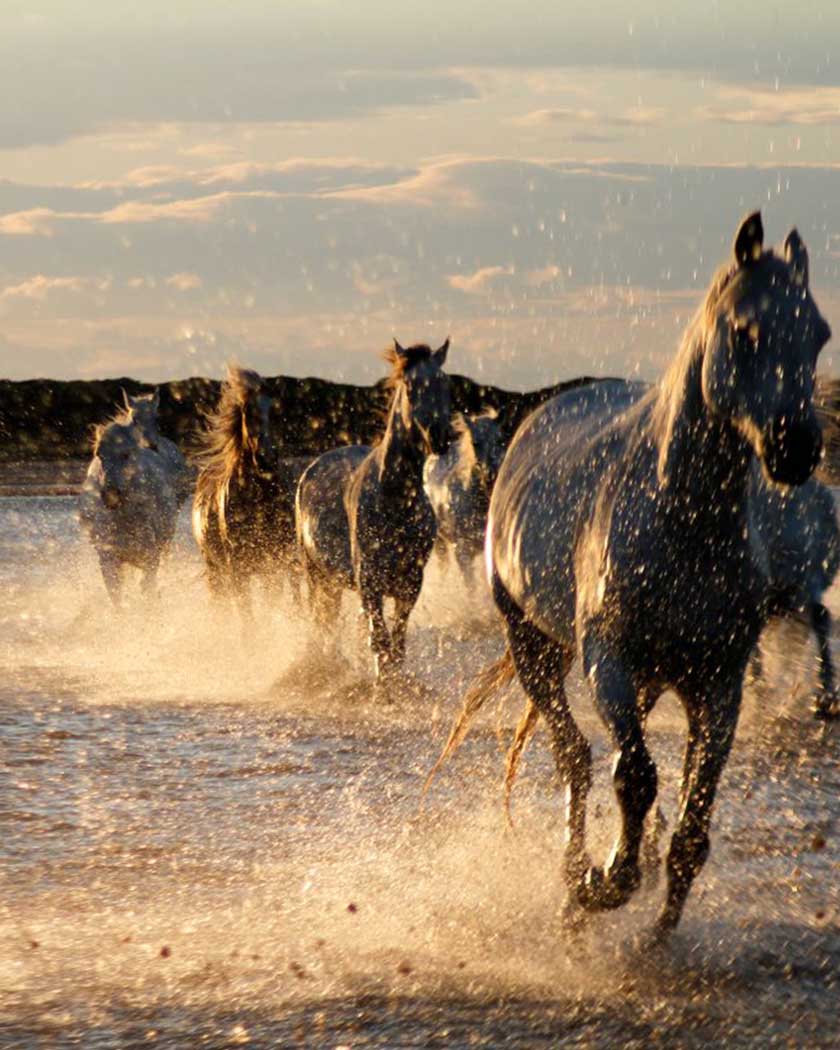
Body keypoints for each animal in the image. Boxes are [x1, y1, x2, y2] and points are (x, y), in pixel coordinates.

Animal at [79, 405, 183, 606]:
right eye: (99, 454)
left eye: (126, 454)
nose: (110, 496)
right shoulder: (108, 559)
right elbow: (117, 598)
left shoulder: (151, 557)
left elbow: (148, 590)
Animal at [192, 365, 305, 616]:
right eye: (248, 412)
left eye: (276, 411)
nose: (266, 459)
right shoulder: (237, 566)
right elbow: (247, 615)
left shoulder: (274, 563)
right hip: (215, 569)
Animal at [296, 339, 451, 681]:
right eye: (409, 386)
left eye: (444, 383)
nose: (440, 437)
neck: (393, 501)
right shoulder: (369, 582)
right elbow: (379, 641)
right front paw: (382, 687)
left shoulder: (410, 584)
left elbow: (397, 643)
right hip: (315, 574)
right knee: (320, 622)